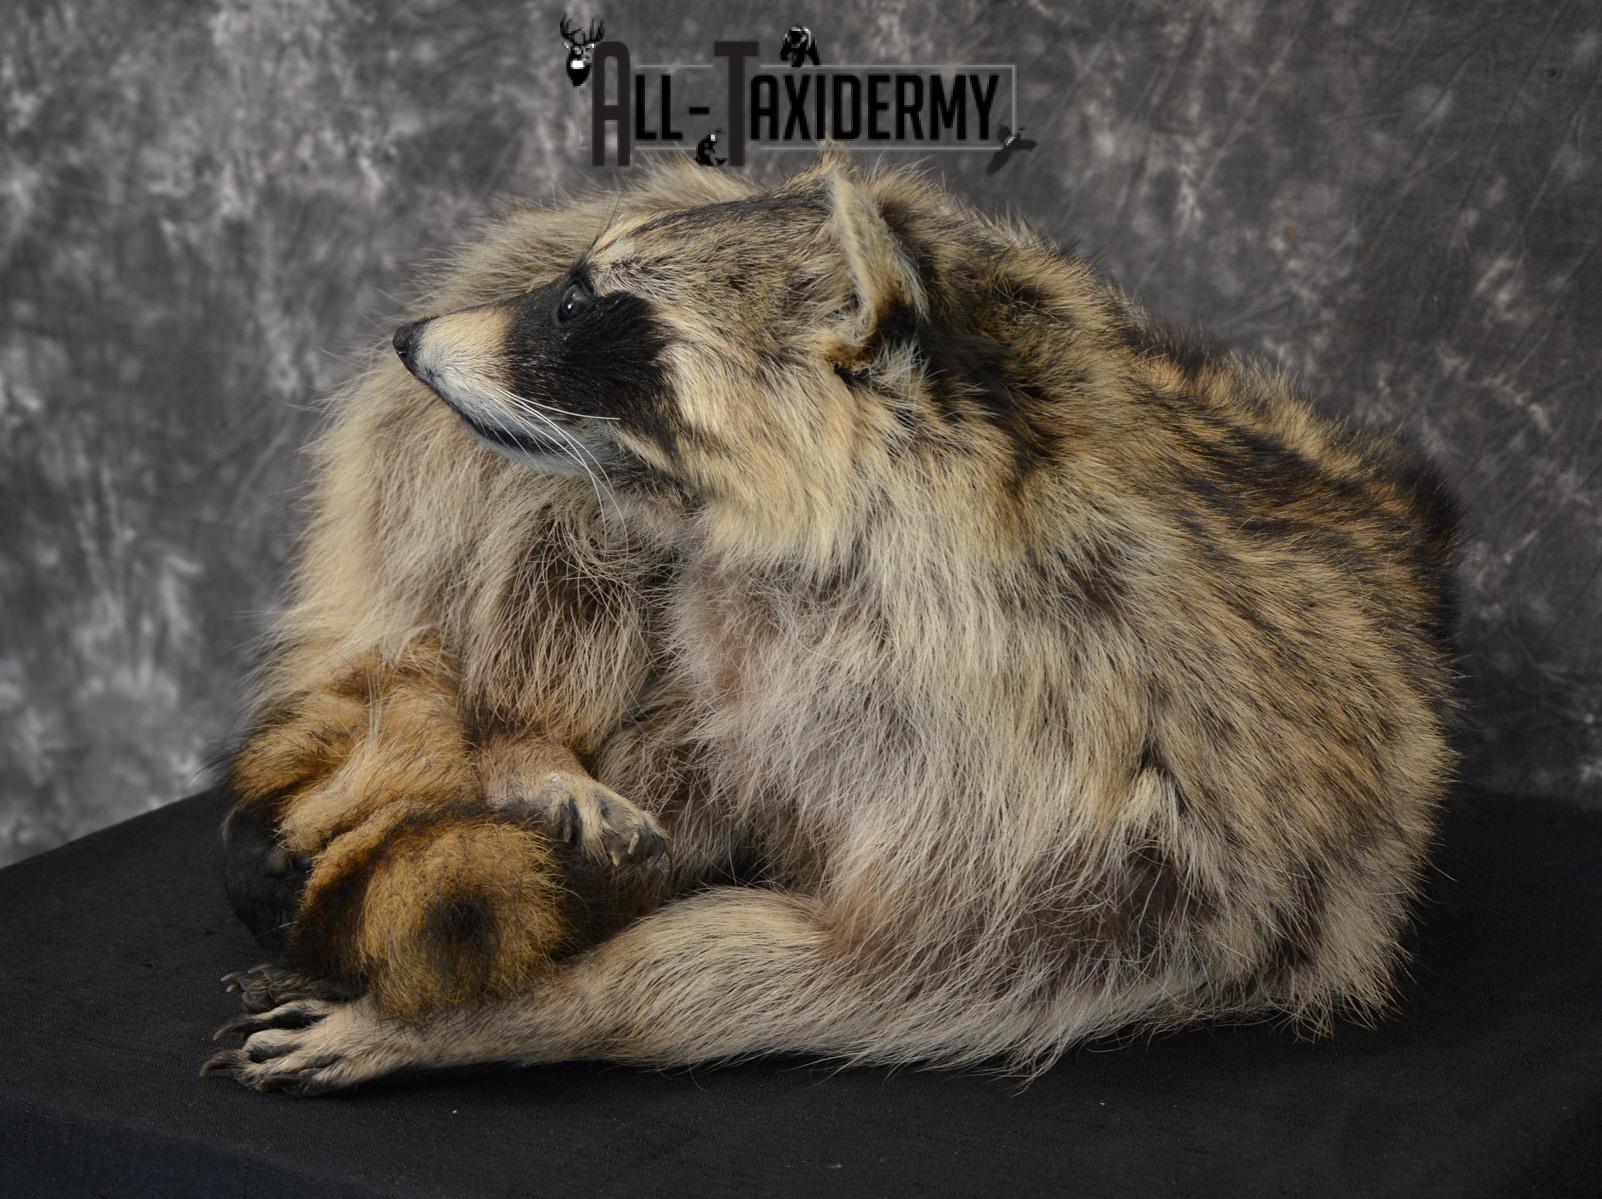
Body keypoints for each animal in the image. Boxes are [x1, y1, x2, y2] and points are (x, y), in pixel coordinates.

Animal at [204, 152, 1458, 1094]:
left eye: (580, 307)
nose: (407, 337)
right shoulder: (754, 640)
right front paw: (536, 797)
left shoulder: (1075, 793)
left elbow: (853, 967)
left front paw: (529, 1005)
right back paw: (514, 734)